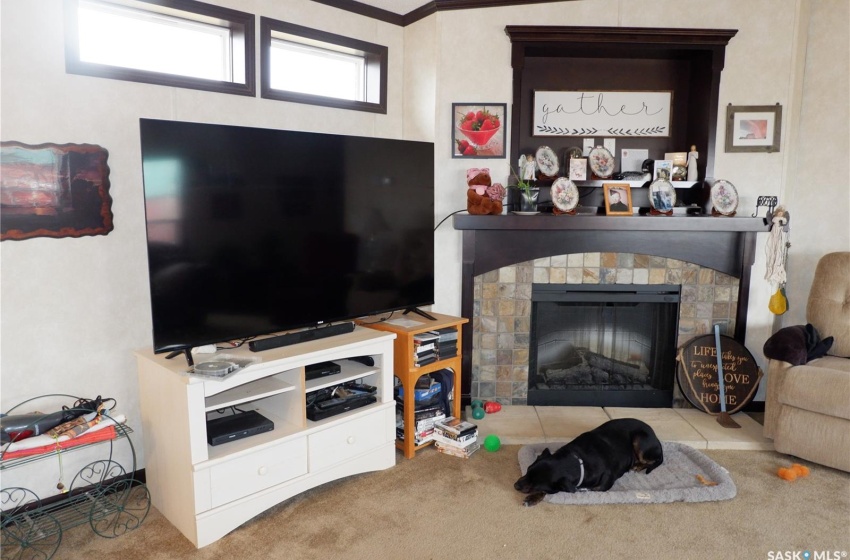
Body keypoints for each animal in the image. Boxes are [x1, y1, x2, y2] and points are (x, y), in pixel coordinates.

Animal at [512, 418, 660, 506]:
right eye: (527, 470)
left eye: (535, 485)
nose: (515, 485)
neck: (578, 462)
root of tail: (656, 438)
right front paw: (533, 498)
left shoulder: (601, 487)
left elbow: (554, 490)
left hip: (640, 439)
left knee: (654, 460)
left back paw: (638, 466)